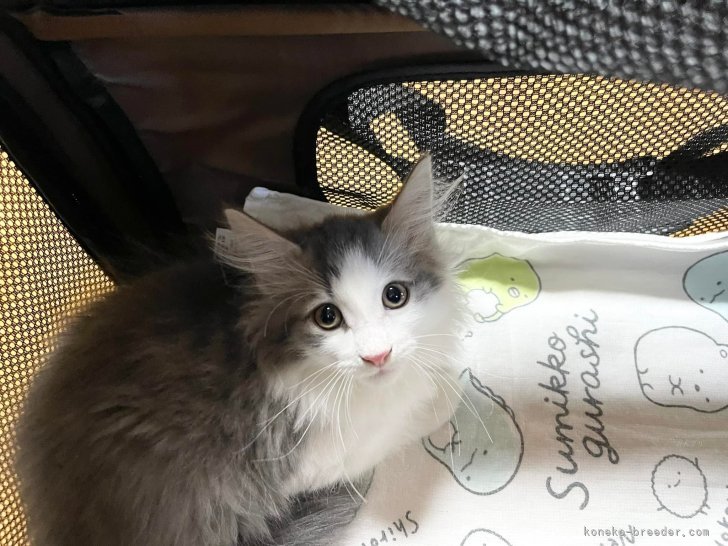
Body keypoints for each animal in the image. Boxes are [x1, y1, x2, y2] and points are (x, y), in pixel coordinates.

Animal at [15, 155, 465, 546]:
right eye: (327, 317)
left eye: (394, 296)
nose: (376, 356)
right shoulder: (309, 458)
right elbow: (421, 409)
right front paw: (444, 391)